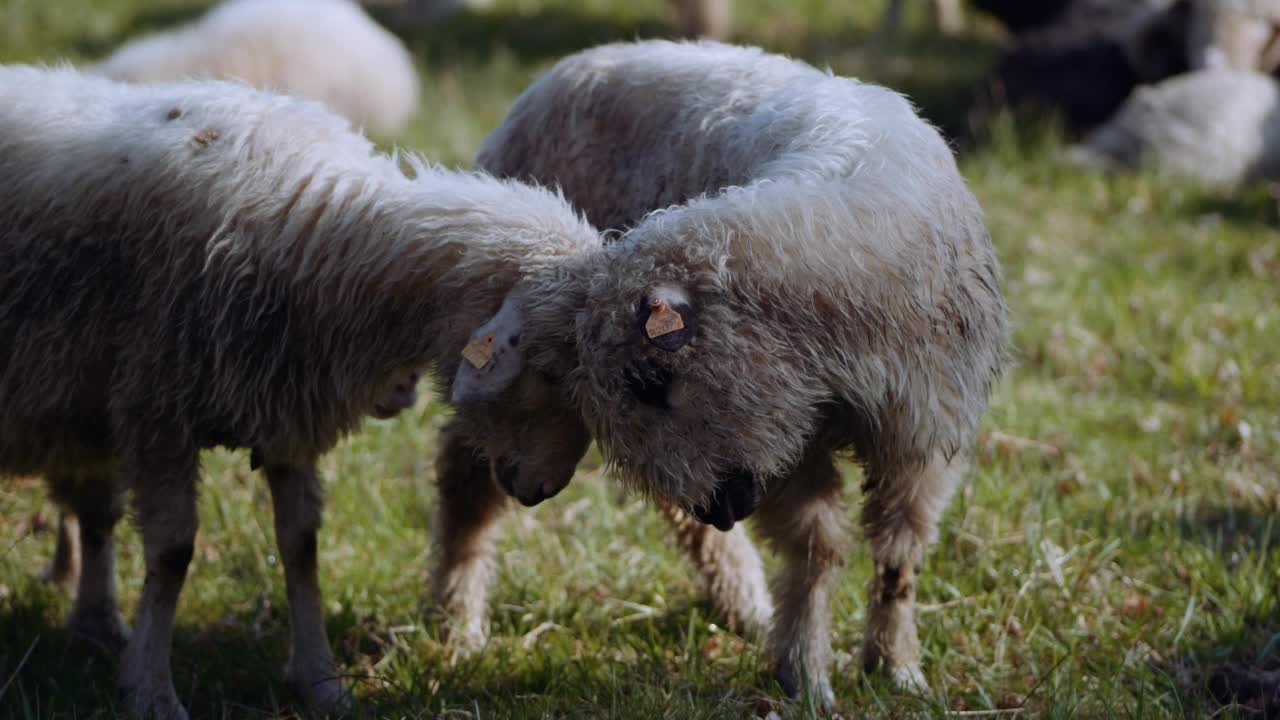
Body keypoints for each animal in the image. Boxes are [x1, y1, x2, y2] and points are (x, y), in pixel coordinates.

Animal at [1, 63, 599, 717]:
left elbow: (301, 546)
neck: (315, 224)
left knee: (95, 515)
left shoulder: (284, 412)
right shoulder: (158, 409)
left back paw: (98, 624)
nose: (546, 489)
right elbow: (173, 550)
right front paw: (153, 691)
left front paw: (320, 681)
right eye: (548, 370)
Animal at [453, 40, 1008, 707]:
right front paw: (807, 674)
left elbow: (899, 557)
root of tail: (574, 62)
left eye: (653, 382)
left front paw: (896, 668)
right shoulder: (788, 449)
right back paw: (457, 621)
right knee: (465, 478)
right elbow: (816, 553)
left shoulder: (920, 433)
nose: (718, 508)